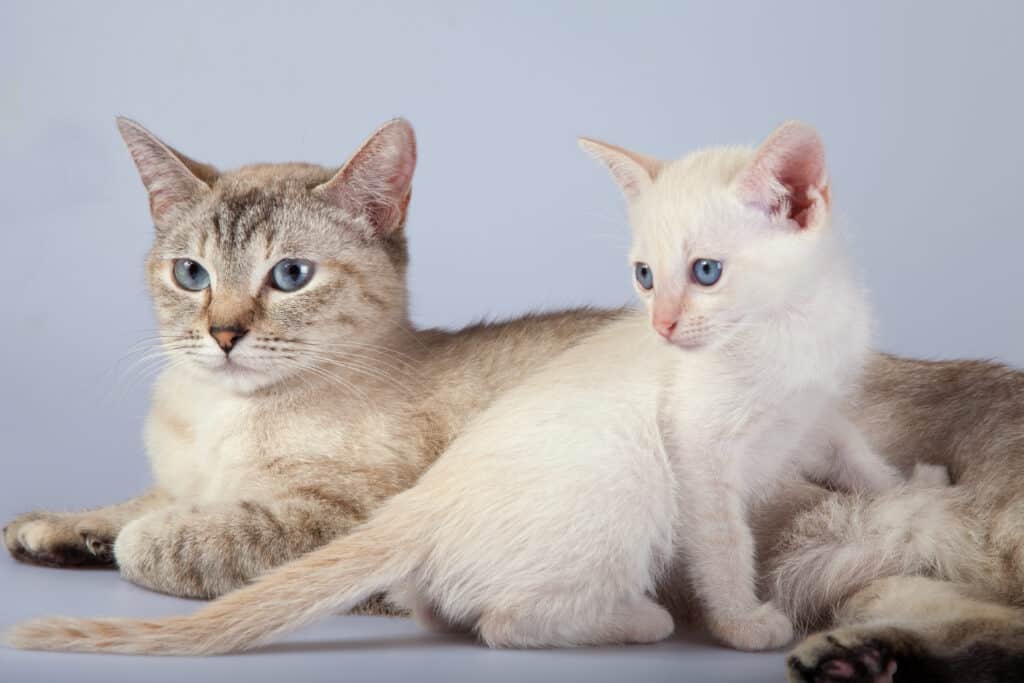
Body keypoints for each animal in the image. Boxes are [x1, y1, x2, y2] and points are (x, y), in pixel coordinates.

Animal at [8, 121, 905, 655]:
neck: (217, 416)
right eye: (190, 274)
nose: (223, 334)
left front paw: (127, 540)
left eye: (290, 276)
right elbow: (138, 501)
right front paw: (56, 528)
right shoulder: (180, 477)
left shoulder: (330, 517)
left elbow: (170, 536)